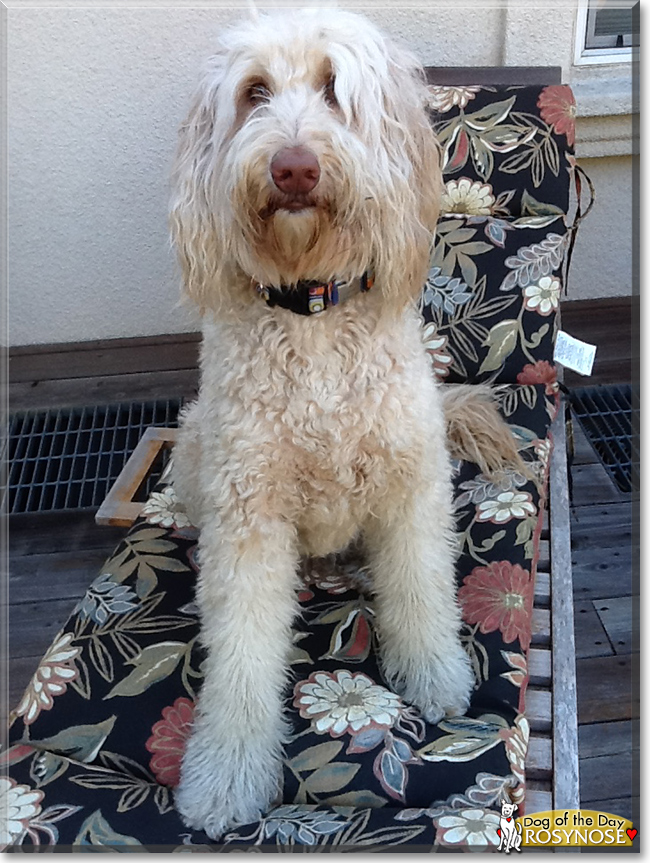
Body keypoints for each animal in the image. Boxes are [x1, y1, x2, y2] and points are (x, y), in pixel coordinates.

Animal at [168, 8, 516, 844]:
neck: (313, 315)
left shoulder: (410, 486)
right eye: (255, 93)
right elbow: (240, 657)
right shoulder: (248, 519)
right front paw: (226, 775)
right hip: (195, 450)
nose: (293, 168)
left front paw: (436, 677)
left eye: (334, 88)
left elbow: (422, 591)